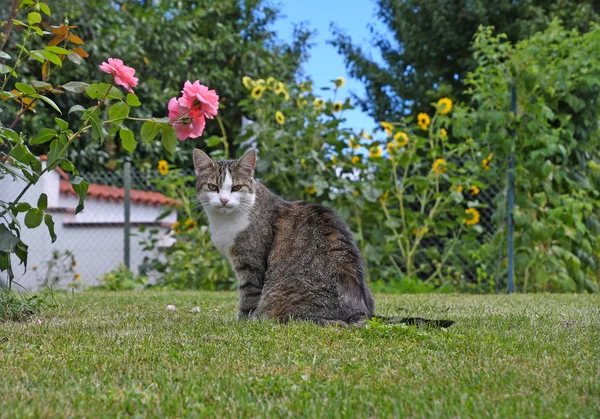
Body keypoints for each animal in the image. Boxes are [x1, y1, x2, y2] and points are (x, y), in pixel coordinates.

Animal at [195, 149, 452, 330]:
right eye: (213, 187)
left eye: (236, 187)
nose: (224, 200)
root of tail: (358, 310)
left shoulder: (252, 264)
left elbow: (248, 299)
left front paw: (242, 325)